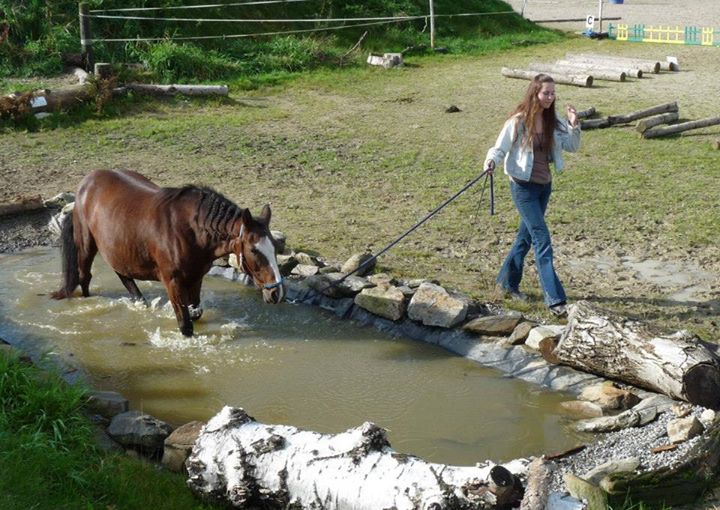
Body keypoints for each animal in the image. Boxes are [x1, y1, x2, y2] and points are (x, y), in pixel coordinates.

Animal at [51, 169, 284, 336]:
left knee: (123, 274)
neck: (190, 230)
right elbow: (185, 325)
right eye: (254, 250)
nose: (277, 293)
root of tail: (86, 183)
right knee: (85, 277)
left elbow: (195, 313)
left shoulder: (195, 278)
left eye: (275, 247)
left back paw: (140, 301)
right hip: (86, 246)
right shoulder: (172, 281)